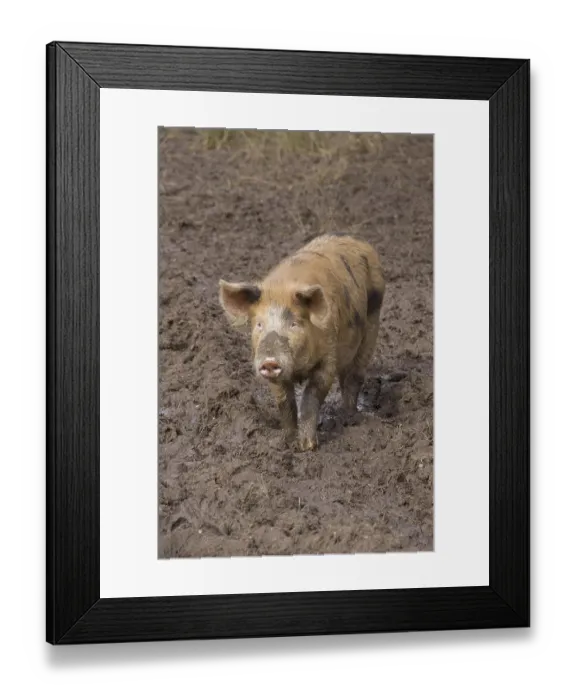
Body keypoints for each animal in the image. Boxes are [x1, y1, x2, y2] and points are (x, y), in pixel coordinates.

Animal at [218, 233, 385, 451]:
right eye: (259, 324)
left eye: (294, 324)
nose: (269, 361)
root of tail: (359, 243)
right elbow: (285, 402)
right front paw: (287, 442)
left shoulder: (328, 357)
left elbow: (310, 397)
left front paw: (307, 447)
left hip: (373, 322)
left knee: (354, 376)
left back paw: (350, 419)